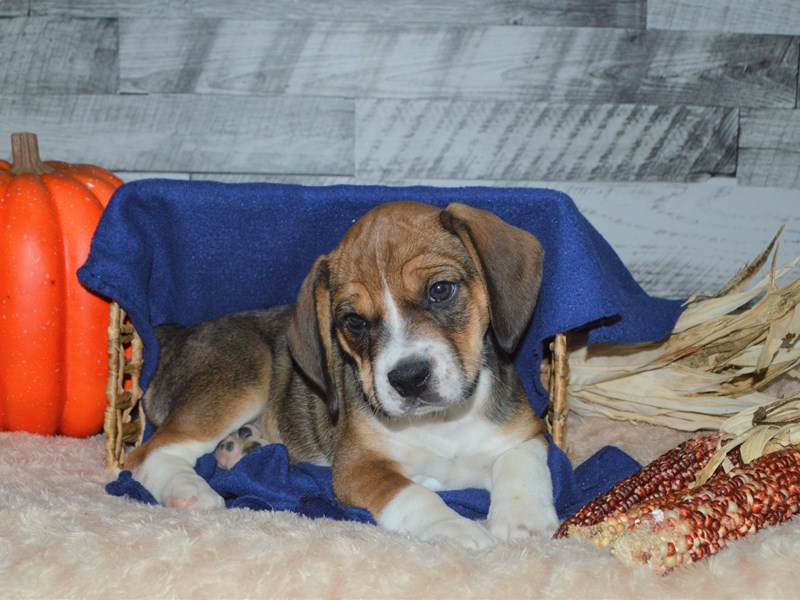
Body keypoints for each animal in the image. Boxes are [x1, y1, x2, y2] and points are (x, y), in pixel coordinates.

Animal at [128, 202, 560, 548]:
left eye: (440, 290)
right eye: (354, 321)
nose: (409, 379)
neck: (441, 423)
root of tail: (179, 334)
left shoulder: (528, 432)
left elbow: (521, 465)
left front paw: (523, 522)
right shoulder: (358, 467)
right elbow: (415, 495)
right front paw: (454, 528)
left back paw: (242, 448)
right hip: (244, 373)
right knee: (146, 455)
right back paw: (189, 490)